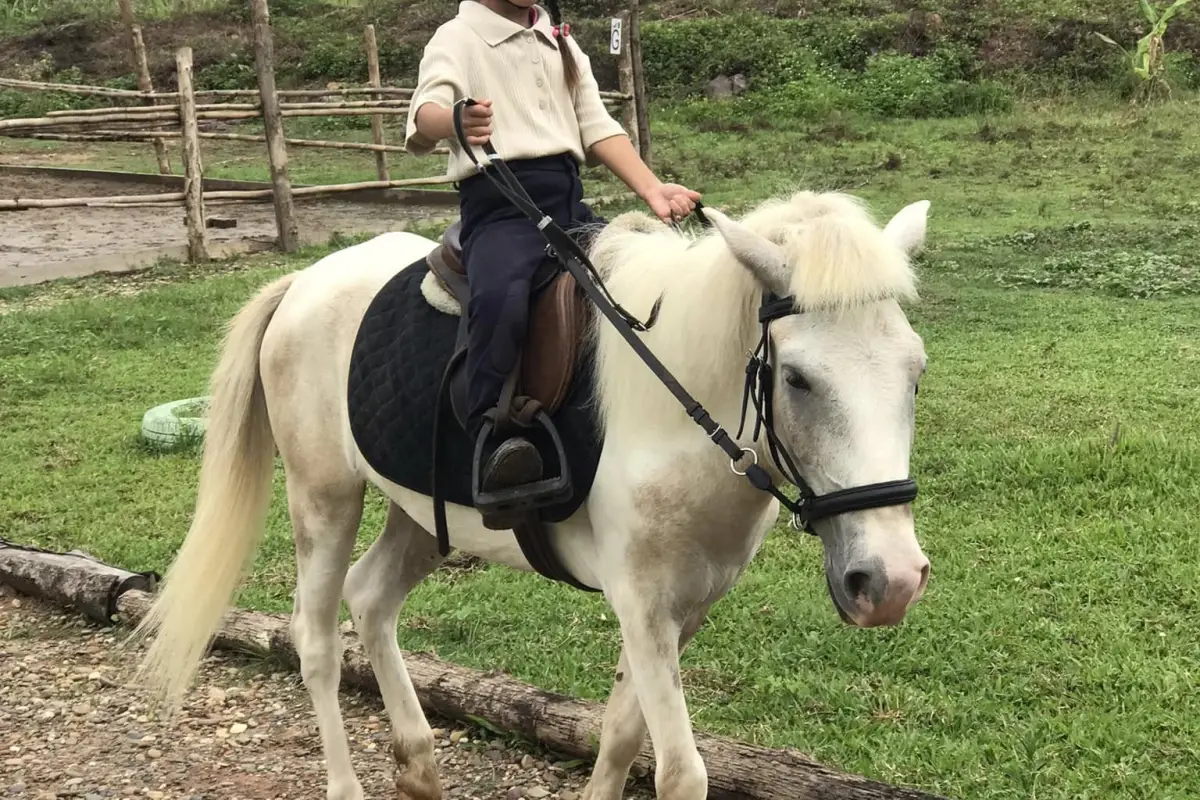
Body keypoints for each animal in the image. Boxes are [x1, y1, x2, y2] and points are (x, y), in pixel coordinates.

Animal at [130, 188, 933, 800]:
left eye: (917, 370)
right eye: (796, 378)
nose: (889, 581)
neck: (675, 412)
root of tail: (303, 283)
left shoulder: (686, 607)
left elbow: (619, 738)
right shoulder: (642, 604)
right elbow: (680, 773)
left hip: (420, 513)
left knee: (372, 597)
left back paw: (419, 767)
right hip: (323, 496)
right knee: (318, 637)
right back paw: (348, 782)